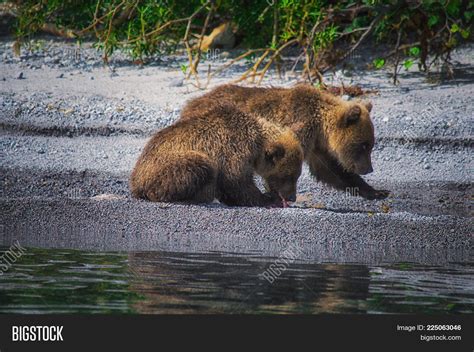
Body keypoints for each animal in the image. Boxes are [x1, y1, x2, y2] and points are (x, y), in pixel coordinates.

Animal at [129, 102, 304, 206]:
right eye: (288, 176)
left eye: (297, 175)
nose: (292, 197)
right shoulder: (234, 149)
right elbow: (236, 181)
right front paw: (268, 199)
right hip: (165, 163)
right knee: (199, 165)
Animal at [181, 84, 388, 201]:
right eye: (363, 145)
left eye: (371, 144)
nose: (368, 169)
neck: (320, 125)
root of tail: (191, 103)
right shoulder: (299, 128)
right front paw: (278, 193)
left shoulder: (317, 146)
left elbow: (331, 170)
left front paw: (376, 191)